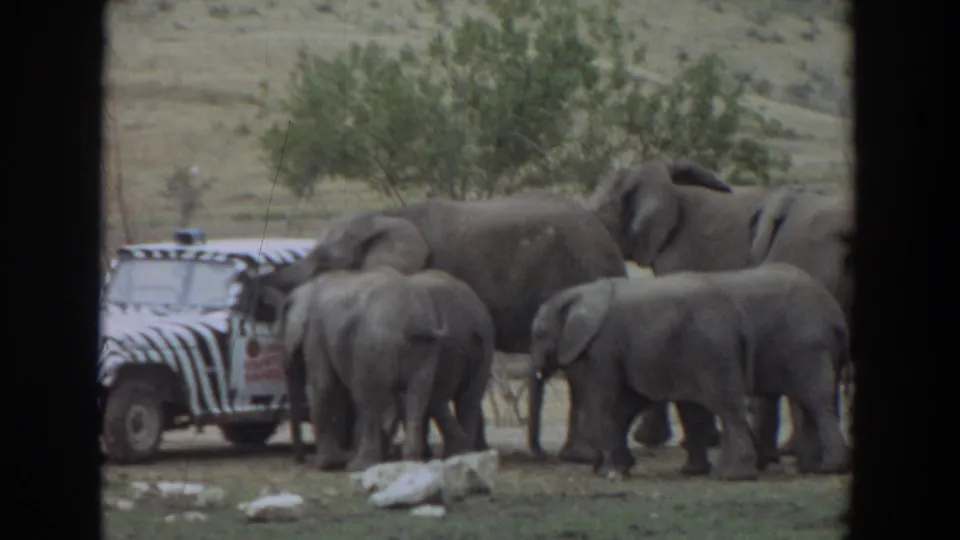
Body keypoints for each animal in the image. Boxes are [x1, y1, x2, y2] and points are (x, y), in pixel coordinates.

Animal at [275, 266, 494, 471]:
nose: (300, 460)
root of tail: (414, 323)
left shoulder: (315, 332)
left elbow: (323, 385)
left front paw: (326, 464)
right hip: (442, 348)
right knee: (440, 397)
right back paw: (439, 455)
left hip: (377, 344)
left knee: (369, 398)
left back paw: (361, 464)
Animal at [528, 275, 760, 481]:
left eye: (539, 333)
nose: (542, 456)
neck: (581, 292)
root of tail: (739, 322)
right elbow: (626, 404)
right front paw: (614, 468)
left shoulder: (604, 345)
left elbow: (605, 400)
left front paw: (610, 472)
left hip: (712, 352)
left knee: (727, 408)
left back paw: (735, 476)